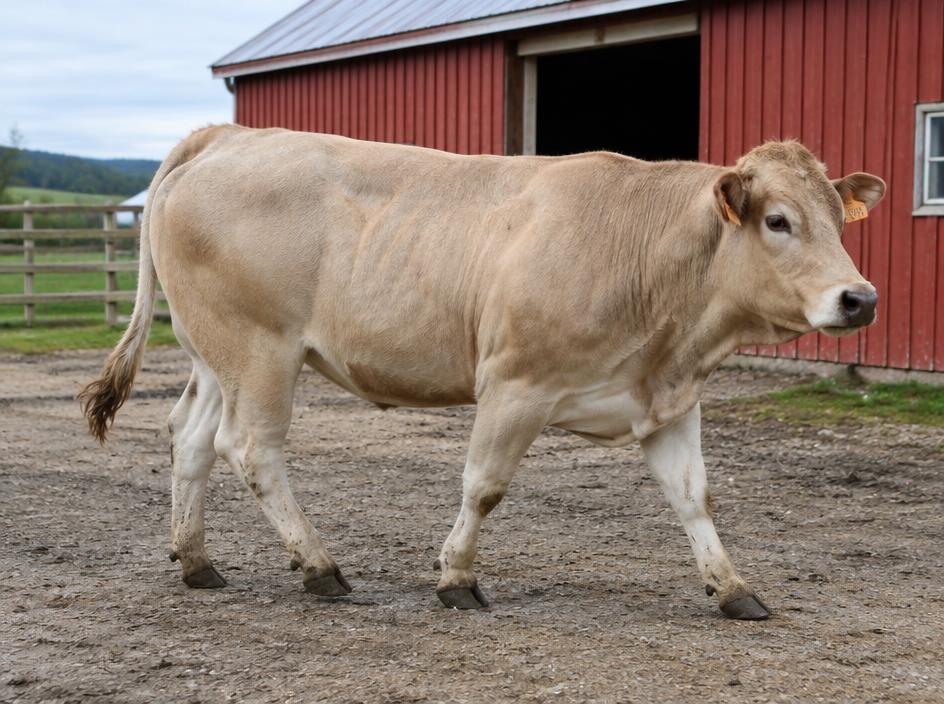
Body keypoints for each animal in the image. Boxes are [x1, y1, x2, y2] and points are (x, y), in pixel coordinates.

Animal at [79, 125, 885, 620]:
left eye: (838, 220)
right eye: (778, 220)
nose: (861, 298)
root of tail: (230, 134)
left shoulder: (668, 399)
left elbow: (695, 500)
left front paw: (731, 588)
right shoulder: (514, 385)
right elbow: (484, 486)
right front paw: (457, 578)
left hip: (214, 354)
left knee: (190, 438)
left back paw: (196, 560)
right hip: (261, 350)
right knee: (251, 450)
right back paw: (319, 567)